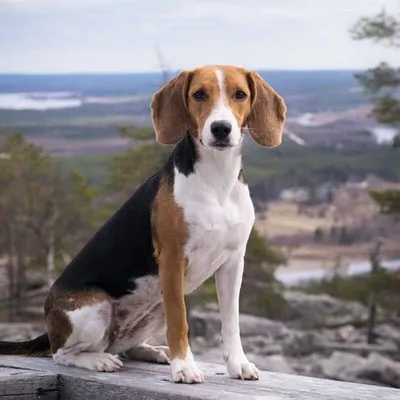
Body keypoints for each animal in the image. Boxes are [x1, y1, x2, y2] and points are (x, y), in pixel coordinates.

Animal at [0, 65, 288, 384]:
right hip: (94, 309)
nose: (221, 129)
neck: (216, 179)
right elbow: (180, 322)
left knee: (124, 346)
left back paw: (152, 351)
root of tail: (51, 327)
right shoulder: (173, 260)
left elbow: (231, 322)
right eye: (199, 94)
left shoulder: (233, 262)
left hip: (155, 304)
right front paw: (184, 367)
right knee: (62, 354)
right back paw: (99, 360)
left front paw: (238, 364)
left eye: (240, 95)